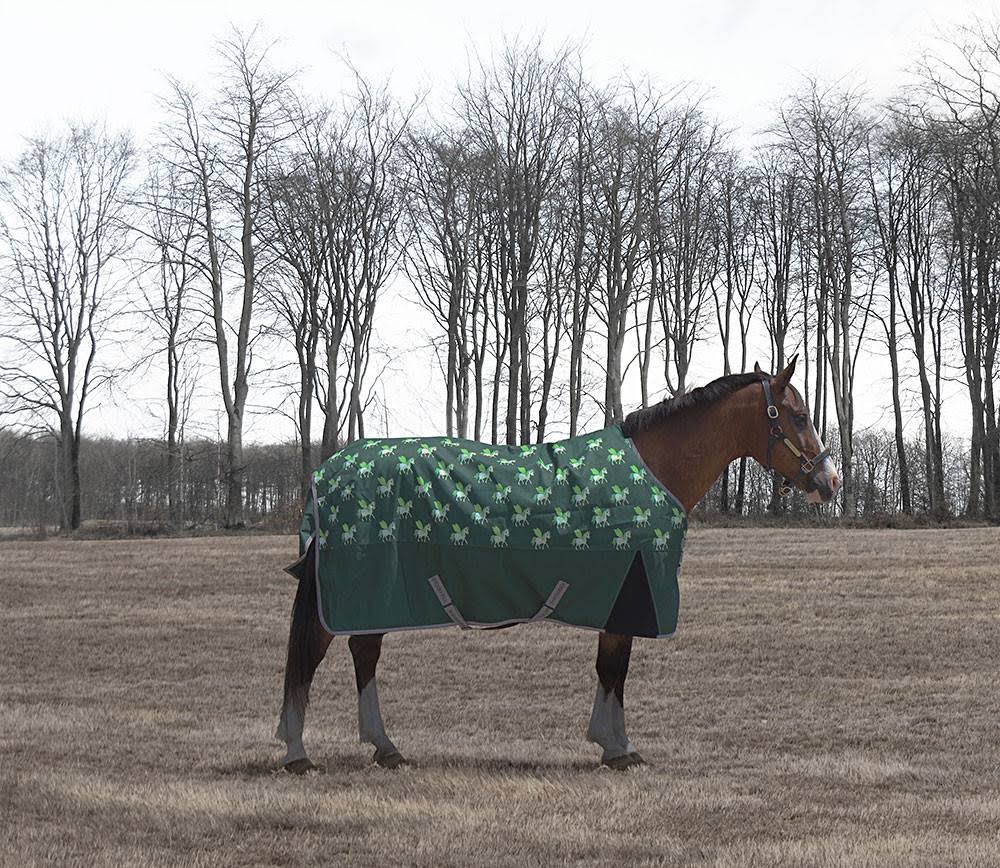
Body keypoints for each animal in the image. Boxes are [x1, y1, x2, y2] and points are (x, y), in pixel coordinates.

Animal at [275, 357, 841, 772]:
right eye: (798, 416)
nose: (830, 481)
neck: (650, 472)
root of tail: (332, 472)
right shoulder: (629, 591)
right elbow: (614, 669)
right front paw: (619, 749)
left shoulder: (617, 595)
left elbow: (611, 669)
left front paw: (610, 744)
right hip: (361, 586)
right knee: (313, 656)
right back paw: (299, 754)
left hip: (376, 592)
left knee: (361, 654)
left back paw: (385, 748)